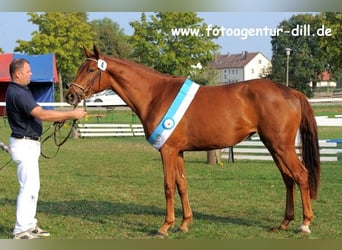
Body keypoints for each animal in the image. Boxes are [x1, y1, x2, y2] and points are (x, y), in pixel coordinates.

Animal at [65, 46, 320, 236]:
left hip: (281, 146)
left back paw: (305, 224)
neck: (156, 95)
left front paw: (165, 226)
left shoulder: (167, 150)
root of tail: (291, 92)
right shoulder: (177, 151)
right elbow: (182, 185)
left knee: (301, 175)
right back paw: (284, 222)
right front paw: (184, 223)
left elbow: (168, 186)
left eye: (90, 69)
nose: (70, 95)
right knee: (288, 179)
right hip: (273, 146)